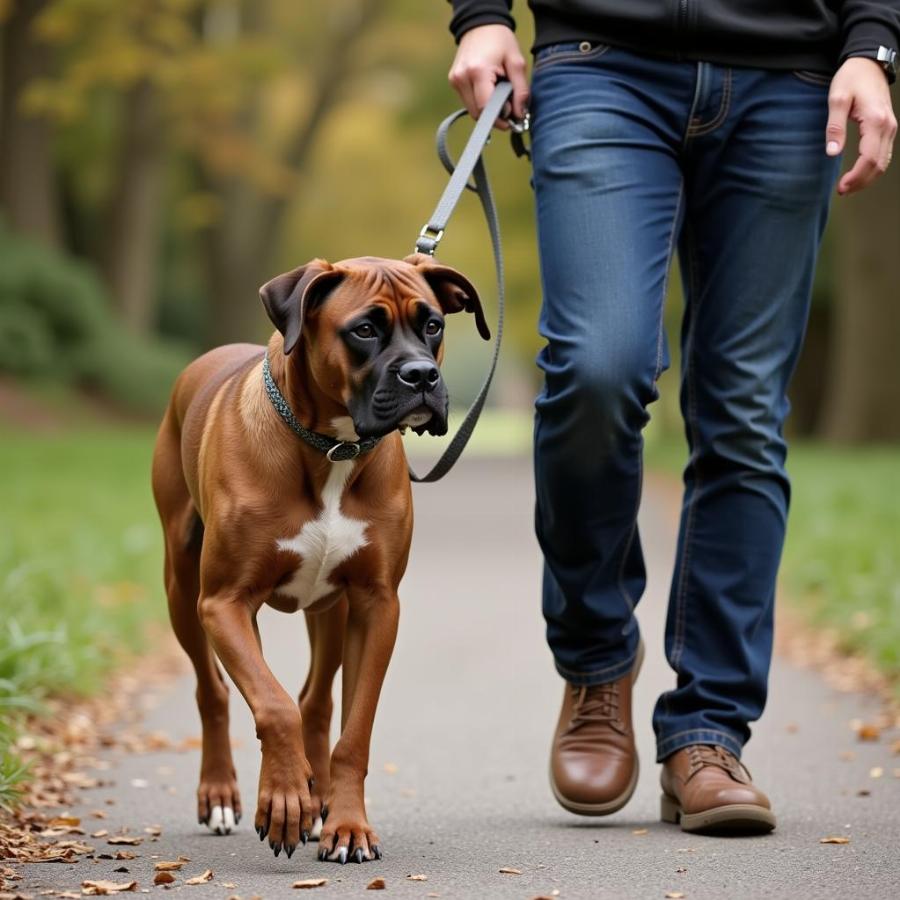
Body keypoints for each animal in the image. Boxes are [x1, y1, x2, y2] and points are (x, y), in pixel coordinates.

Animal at [151, 255, 488, 864]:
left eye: (432, 325)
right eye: (364, 329)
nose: (422, 375)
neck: (333, 446)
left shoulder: (376, 606)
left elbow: (353, 729)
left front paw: (345, 822)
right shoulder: (225, 603)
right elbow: (272, 704)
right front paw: (284, 800)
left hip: (329, 612)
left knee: (315, 700)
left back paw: (319, 797)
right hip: (183, 594)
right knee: (214, 691)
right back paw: (223, 793)